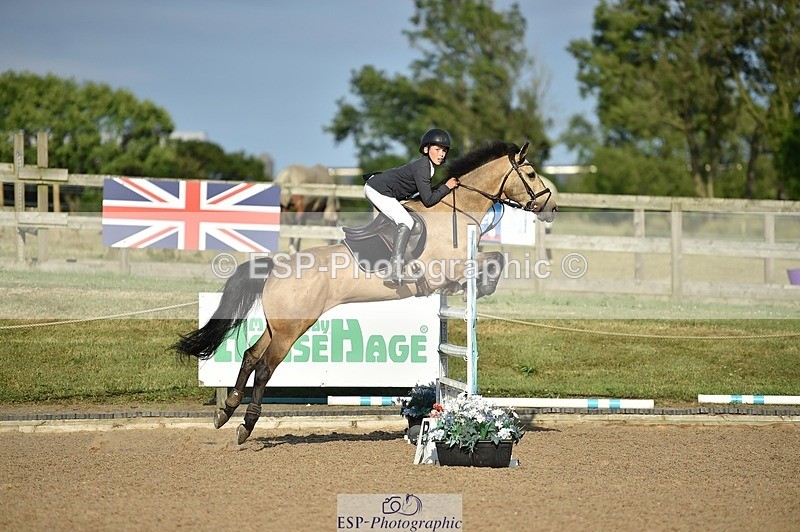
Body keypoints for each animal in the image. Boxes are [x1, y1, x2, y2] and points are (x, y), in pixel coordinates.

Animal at [173, 140, 557, 444]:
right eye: (531, 174)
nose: (551, 208)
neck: (457, 211)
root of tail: (275, 268)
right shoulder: (446, 268)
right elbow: (495, 259)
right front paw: (485, 285)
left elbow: (494, 259)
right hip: (292, 328)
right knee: (266, 367)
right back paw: (246, 424)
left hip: (277, 324)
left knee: (251, 355)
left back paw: (227, 411)